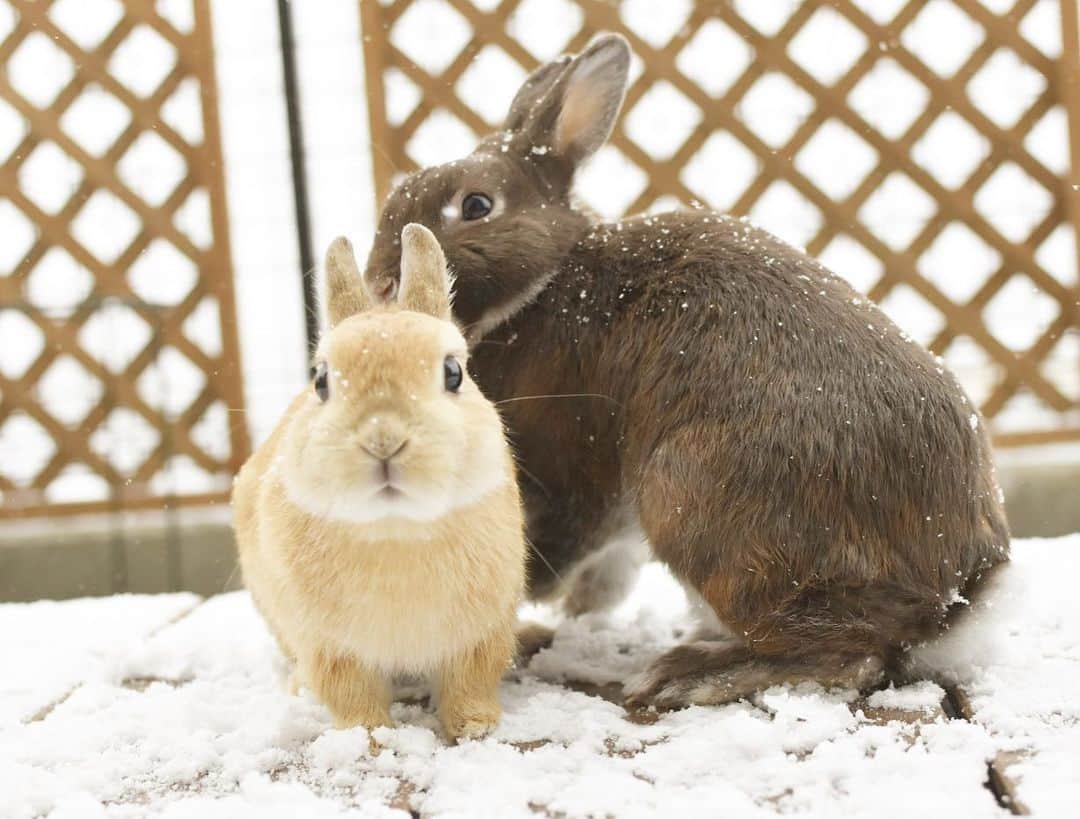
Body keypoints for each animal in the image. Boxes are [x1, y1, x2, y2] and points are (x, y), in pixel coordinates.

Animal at [232, 224, 526, 740]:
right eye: (321, 380)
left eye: (454, 373)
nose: (383, 439)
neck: (396, 526)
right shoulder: (332, 648)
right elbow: (351, 693)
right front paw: (369, 737)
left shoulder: (480, 634)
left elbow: (469, 680)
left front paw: (476, 726)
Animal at [361, 33, 1010, 710]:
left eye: (476, 205)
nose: (379, 283)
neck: (545, 284)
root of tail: (957, 596)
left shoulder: (566, 463)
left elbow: (545, 547)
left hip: (691, 497)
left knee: (852, 655)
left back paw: (687, 674)